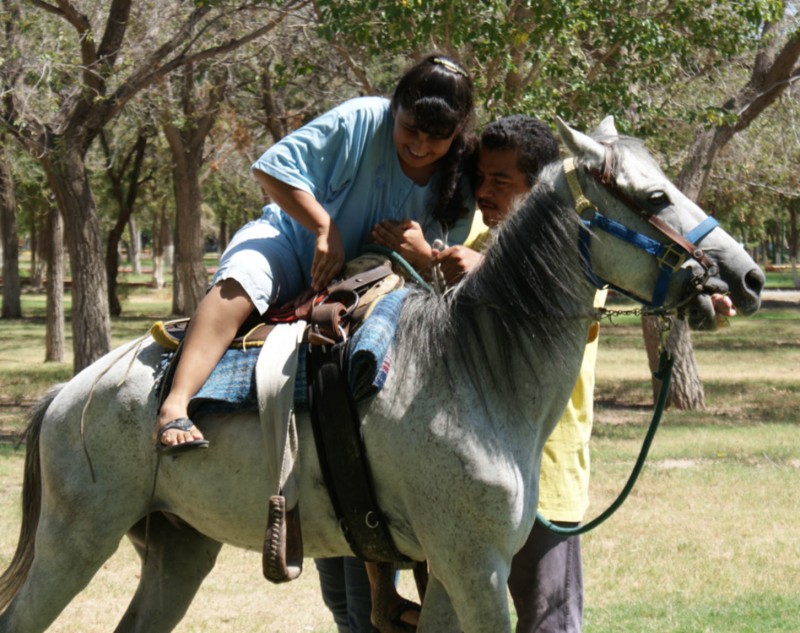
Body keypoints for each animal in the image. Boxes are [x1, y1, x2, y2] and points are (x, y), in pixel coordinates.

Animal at [0, 119, 764, 632]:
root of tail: (67, 396)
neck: (473, 374)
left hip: (178, 547)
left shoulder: (452, 575)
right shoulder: (477, 570)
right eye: (656, 198)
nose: (747, 278)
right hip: (76, 541)